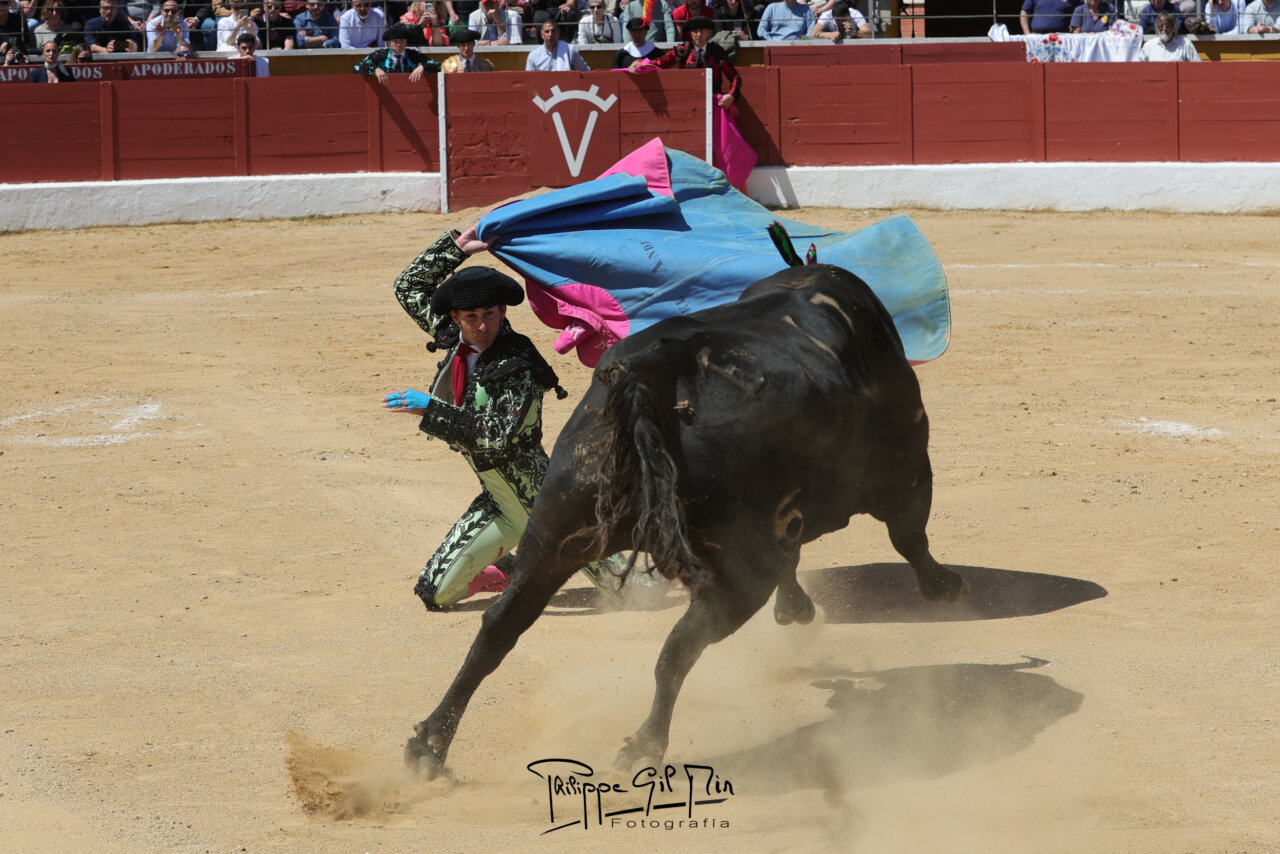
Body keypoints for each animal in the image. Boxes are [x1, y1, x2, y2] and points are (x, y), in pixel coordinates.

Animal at [403, 262, 968, 779]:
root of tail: (651, 368)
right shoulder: (906, 466)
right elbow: (909, 534)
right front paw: (943, 587)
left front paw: (796, 607)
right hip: (739, 565)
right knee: (680, 646)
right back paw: (643, 746)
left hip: (555, 523)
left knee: (501, 625)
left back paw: (429, 744)